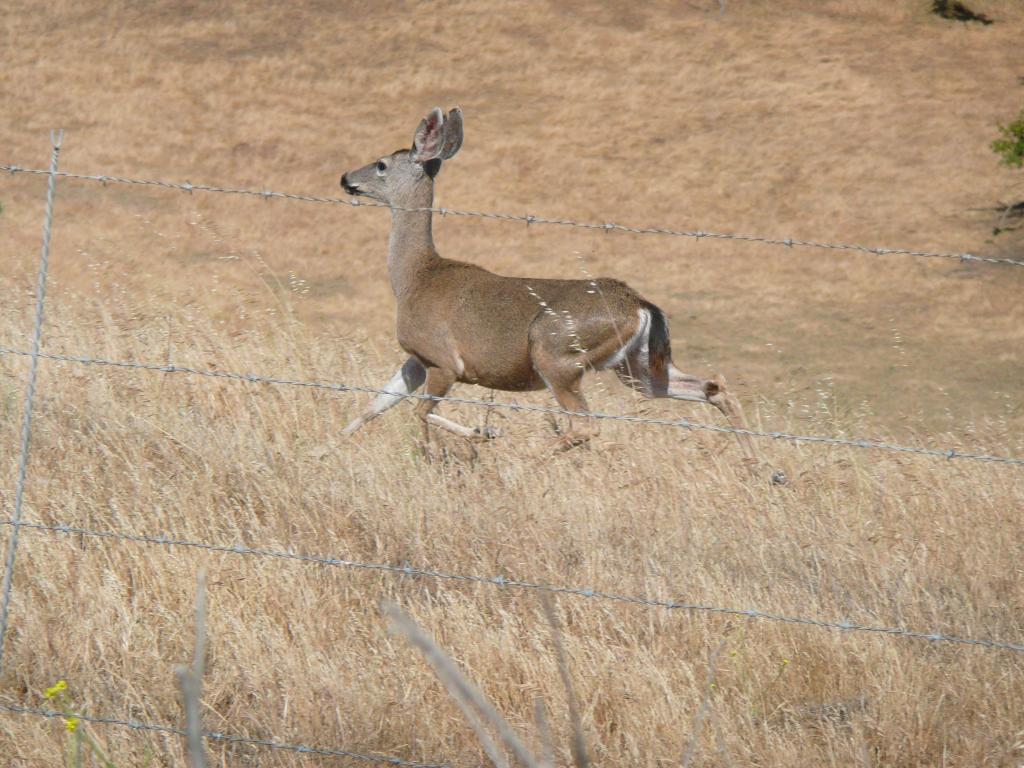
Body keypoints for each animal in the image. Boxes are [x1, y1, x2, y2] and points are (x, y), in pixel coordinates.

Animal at [339, 105, 757, 466]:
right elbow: (377, 404)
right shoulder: (416, 357)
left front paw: (476, 434)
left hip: (556, 354)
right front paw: (329, 450)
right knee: (713, 387)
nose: (345, 178)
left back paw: (524, 461)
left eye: (381, 164)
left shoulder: (442, 359)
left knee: (586, 423)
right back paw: (757, 465)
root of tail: (640, 304)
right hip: (635, 365)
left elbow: (421, 411)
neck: (415, 277)